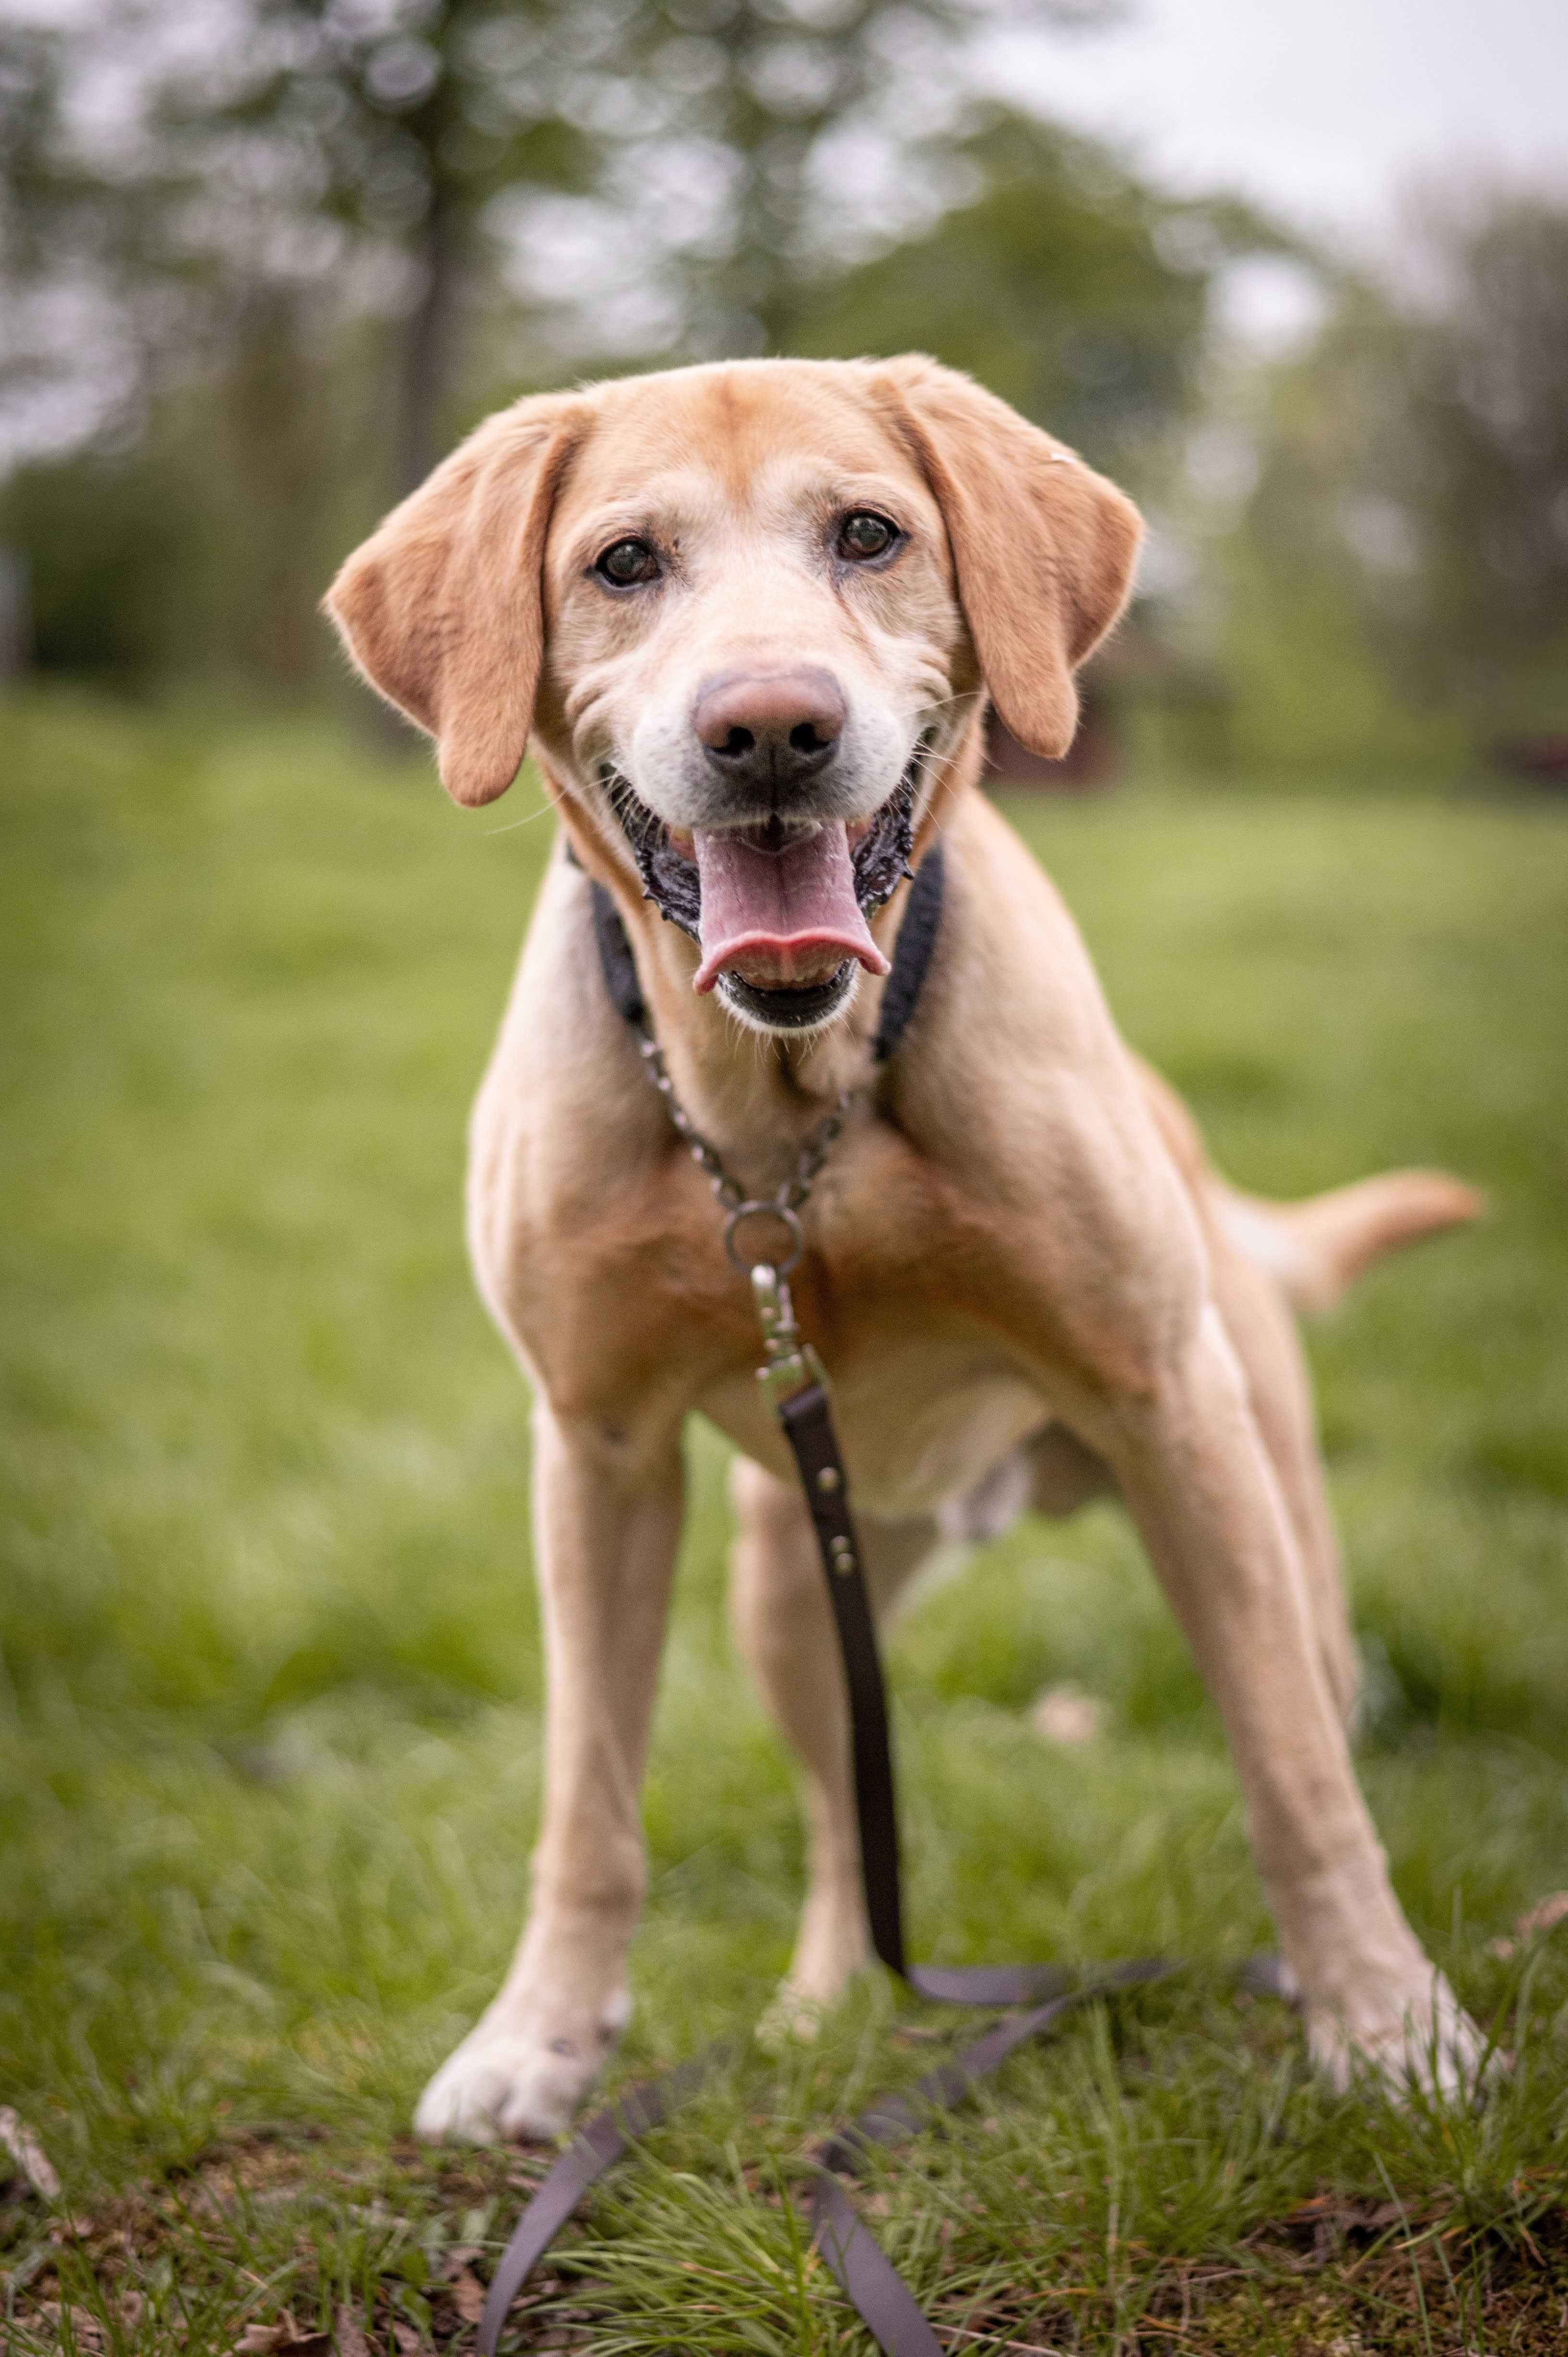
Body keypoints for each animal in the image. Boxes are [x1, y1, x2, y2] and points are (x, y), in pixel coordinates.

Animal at [328, 348, 1481, 2140]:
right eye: (623, 562)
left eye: (866, 532)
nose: (769, 727)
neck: (784, 1107)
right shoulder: (595, 1453)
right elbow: (591, 1799)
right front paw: (538, 2039)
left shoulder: (1168, 1409)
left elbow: (1292, 1777)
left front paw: (1383, 2017)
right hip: (798, 1584)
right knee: (831, 1832)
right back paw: (827, 2005)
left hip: (1267, 1513)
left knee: (1312, 1705)